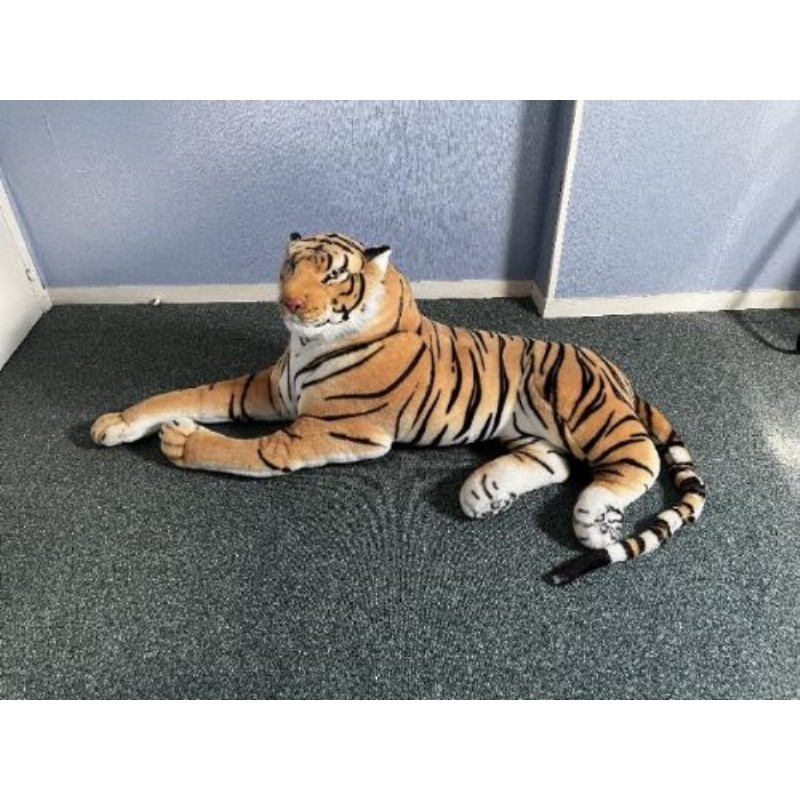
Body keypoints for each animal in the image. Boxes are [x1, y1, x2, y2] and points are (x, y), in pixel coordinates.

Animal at [91, 232, 706, 584]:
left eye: (333, 274)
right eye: (290, 267)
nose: (290, 303)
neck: (305, 342)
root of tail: (615, 370)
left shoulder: (331, 429)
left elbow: (251, 453)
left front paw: (182, 441)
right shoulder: (267, 389)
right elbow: (190, 393)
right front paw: (118, 423)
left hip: (589, 413)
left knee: (635, 461)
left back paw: (595, 517)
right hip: (528, 431)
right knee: (552, 465)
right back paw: (486, 494)